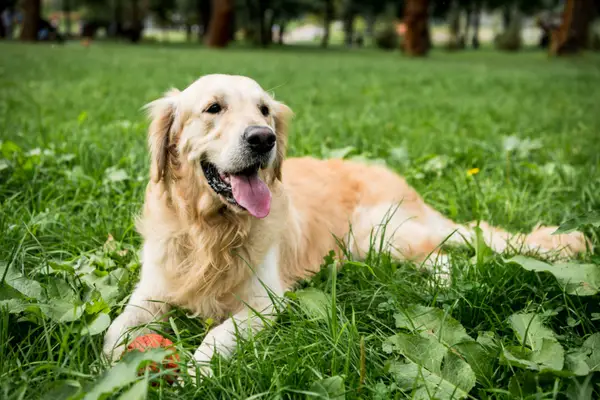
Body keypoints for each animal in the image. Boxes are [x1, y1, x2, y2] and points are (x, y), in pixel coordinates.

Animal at [103, 74, 592, 382]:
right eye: (213, 108)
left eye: (264, 109)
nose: (264, 138)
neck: (210, 230)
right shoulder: (151, 291)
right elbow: (113, 332)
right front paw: (111, 368)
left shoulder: (265, 303)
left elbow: (219, 332)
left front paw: (196, 372)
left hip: (378, 234)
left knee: (444, 257)